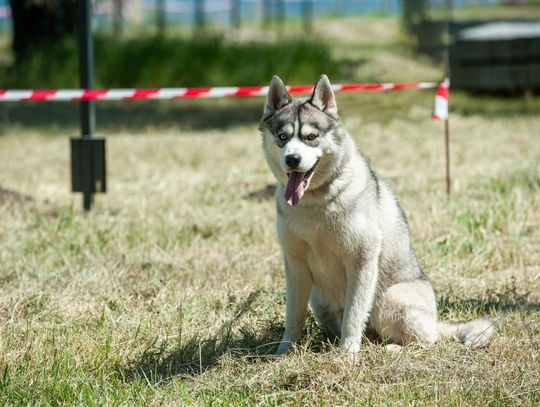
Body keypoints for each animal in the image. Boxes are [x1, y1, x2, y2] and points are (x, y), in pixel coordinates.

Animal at [260, 75, 496, 356]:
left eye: (311, 137)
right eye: (282, 137)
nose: (293, 159)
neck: (316, 201)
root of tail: (436, 321)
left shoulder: (362, 259)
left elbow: (354, 315)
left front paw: (347, 355)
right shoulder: (295, 264)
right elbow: (293, 315)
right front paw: (284, 351)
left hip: (388, 299)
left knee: (427, 339)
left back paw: (392, 348)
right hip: (319, 300)